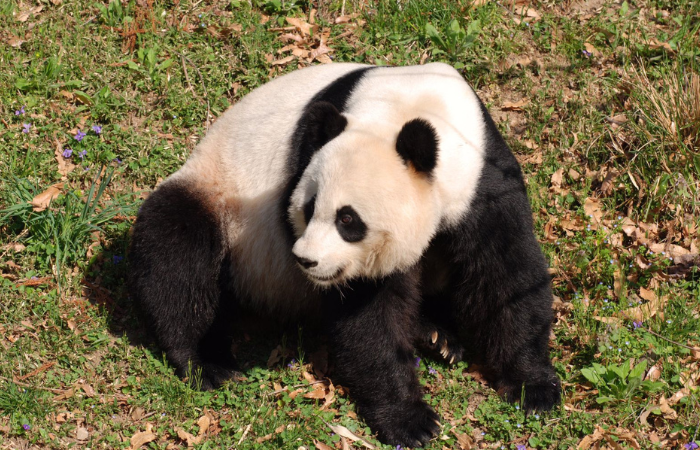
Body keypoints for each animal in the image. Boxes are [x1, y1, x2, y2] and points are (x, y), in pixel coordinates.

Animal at [129, 62, 561, 448]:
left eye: (348, 219)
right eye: (307, 208)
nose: (305, 261)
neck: (409, 108)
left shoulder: (484, 178)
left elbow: (506, 276)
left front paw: (535, 387)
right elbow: (367, 314)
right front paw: (411, 421)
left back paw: (438, 336)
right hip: (219, 197)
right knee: (176, 250)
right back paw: (207, 362)